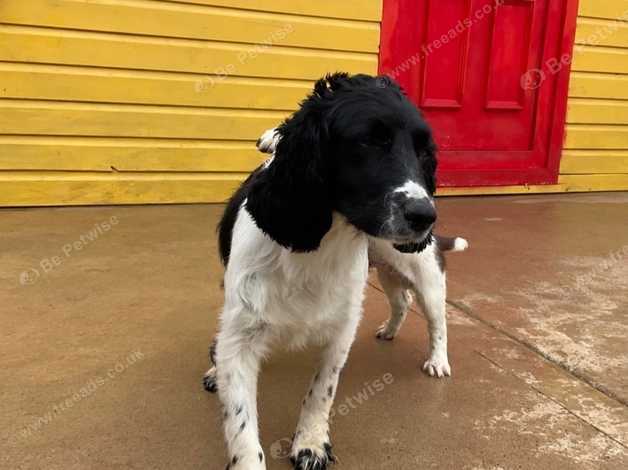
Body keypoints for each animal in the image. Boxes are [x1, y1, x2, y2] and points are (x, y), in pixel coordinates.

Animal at [206, 73, 466, 470]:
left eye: (425, 152)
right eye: (369, 141)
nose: (425, 216)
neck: (319, 243)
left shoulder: (341, 328)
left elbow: (321, 392)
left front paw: (311, 443)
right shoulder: (240, 337)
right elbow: (241, 424)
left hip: (426, 278)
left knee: (436, 321)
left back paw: (437, 360)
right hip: (389, 272)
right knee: (400, 302)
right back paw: (389, 330)